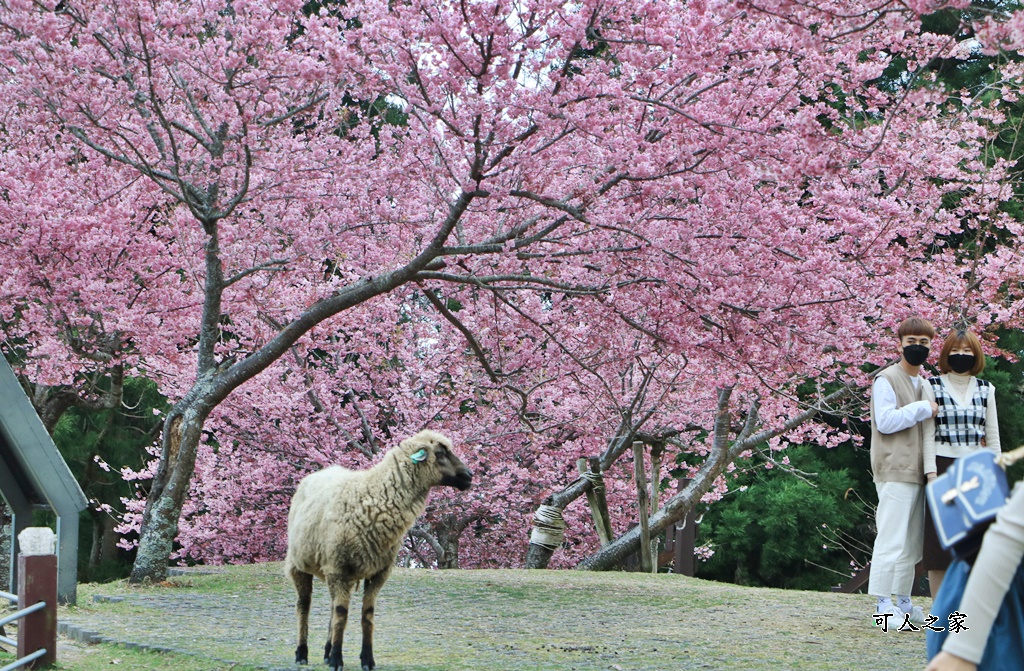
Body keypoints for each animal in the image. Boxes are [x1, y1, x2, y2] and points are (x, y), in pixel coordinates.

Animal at [286, 430, 473, 671]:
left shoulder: (378, 572)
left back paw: (326, 652)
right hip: (299, 564)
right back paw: (302, 652)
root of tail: (319, 473)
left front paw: (366, 659)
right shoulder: (339, 567)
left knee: (331, 606)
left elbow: (367, 615)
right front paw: (337, 659)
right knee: (304, 605)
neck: (374, 495)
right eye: (440, 453)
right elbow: (341, 614)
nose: (469, 475)